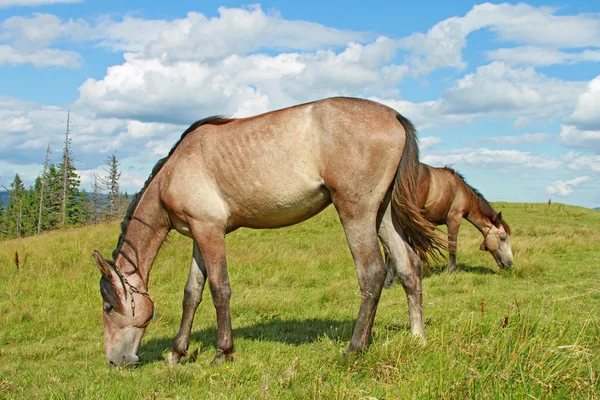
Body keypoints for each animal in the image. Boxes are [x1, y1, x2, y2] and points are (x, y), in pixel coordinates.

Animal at [91, 98, 442, 368]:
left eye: (108, 308)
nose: (114, 360)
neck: (175, 171)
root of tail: (394, 116)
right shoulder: (199, 236)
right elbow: (192, 294)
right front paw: (177, 354)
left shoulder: (210, 232)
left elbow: (220, 289)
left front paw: (222, 353)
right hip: (382, 215)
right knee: (409, 268)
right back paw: (418, 337)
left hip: (356, 212)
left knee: (372, 272)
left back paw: (355, 347)